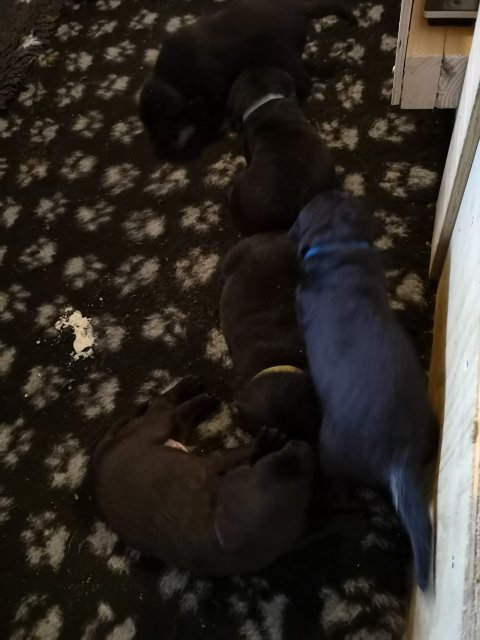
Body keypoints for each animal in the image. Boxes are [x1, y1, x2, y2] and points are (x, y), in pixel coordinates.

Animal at [93, 376, 319, 576]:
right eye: (274, 461)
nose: (304, 446)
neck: (214, 533)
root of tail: (102, 451)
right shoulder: (211, 464)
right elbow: (237, 453)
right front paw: (266, 442)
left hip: (174, 431)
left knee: (177, 415)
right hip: (156, 427)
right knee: (165, 406)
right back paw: (198, 390)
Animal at [139, 0, 354, 159]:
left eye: (161, 123)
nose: (160, 152)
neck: (171, 76)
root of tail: (297, 9)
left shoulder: (216, 87)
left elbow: (215, 112)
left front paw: (209, 131)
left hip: (281, 55)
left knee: (305, 79)